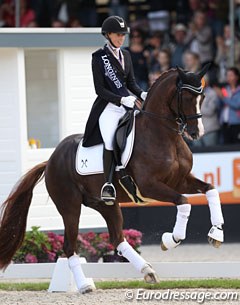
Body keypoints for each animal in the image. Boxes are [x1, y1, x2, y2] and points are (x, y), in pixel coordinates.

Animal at [0, 64, 223, 292]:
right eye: (186, 97)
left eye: (203, 97)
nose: (197, 133)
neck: (164, 136)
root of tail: (51, 160)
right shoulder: (149, 186)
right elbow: (184, 202)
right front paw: (171, 239)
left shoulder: (180, 181)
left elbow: (211, 189)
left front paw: (216, 233)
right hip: (70, 206)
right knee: (70, 246)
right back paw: (84, 286)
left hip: (105, 204)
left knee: (117, 238)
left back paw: (147, 271)